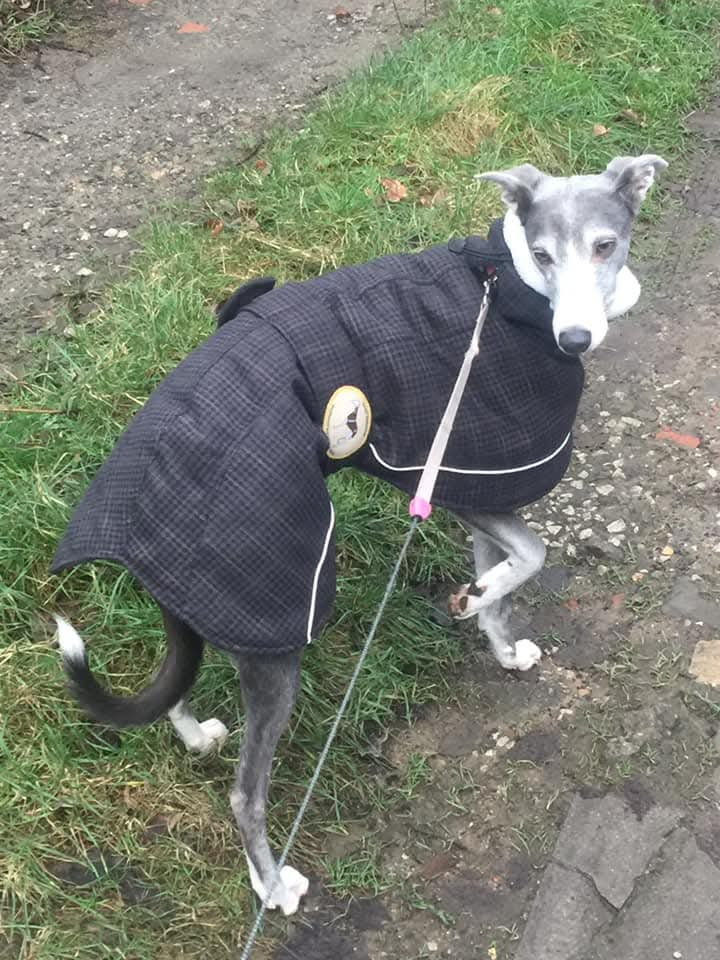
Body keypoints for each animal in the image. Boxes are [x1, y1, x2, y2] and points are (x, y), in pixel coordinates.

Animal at [52, 156, 664, 916]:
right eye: (545, 254)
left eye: (605, 246)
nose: (574, 339)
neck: (502, 285)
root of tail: (139, 510)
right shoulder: (454, 476)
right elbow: (530, 554)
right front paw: (478, 598)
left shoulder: (475, 486)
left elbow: (501, 587)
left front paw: (493, 629)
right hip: (273, 637)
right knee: (245, 796)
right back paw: (271, 883)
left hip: (201, 597)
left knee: (176, 687)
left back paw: (197, 738)